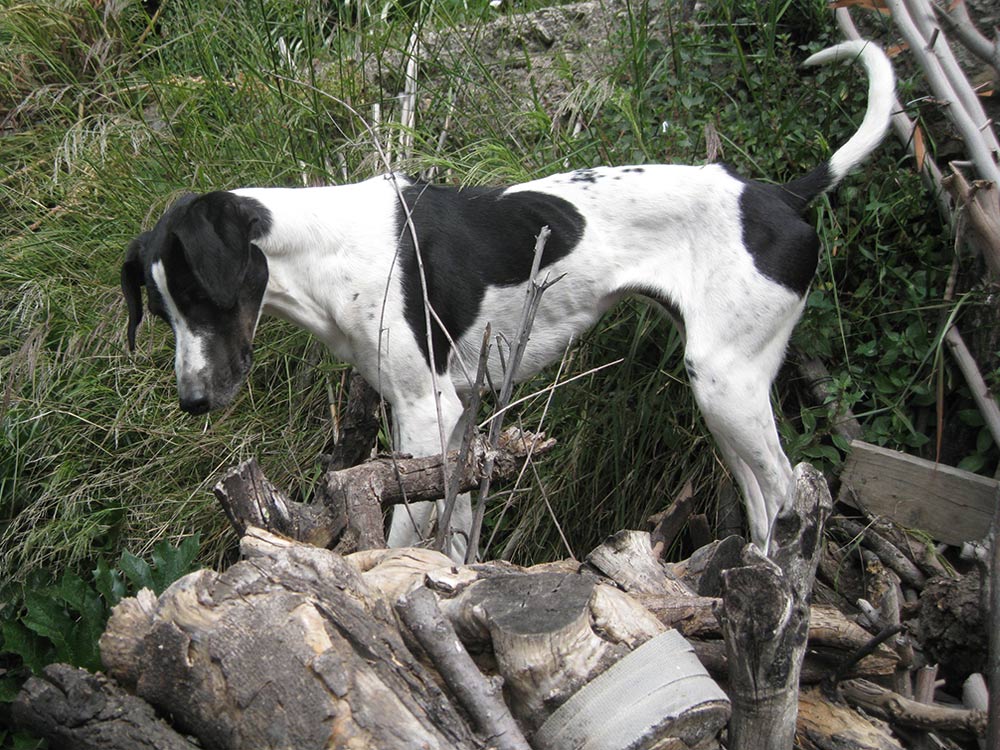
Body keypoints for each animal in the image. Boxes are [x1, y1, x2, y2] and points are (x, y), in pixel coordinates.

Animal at [121, 41, 896, 560]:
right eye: (161, 311)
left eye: (200, 295)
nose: (192, 401)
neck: (325, 245)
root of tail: (780, 195)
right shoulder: (459, 421)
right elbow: (456, 529)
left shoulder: (426, 415)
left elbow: (402, 538)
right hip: (726, 397)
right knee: (765, 504)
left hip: (725, 385)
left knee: (788, 500)